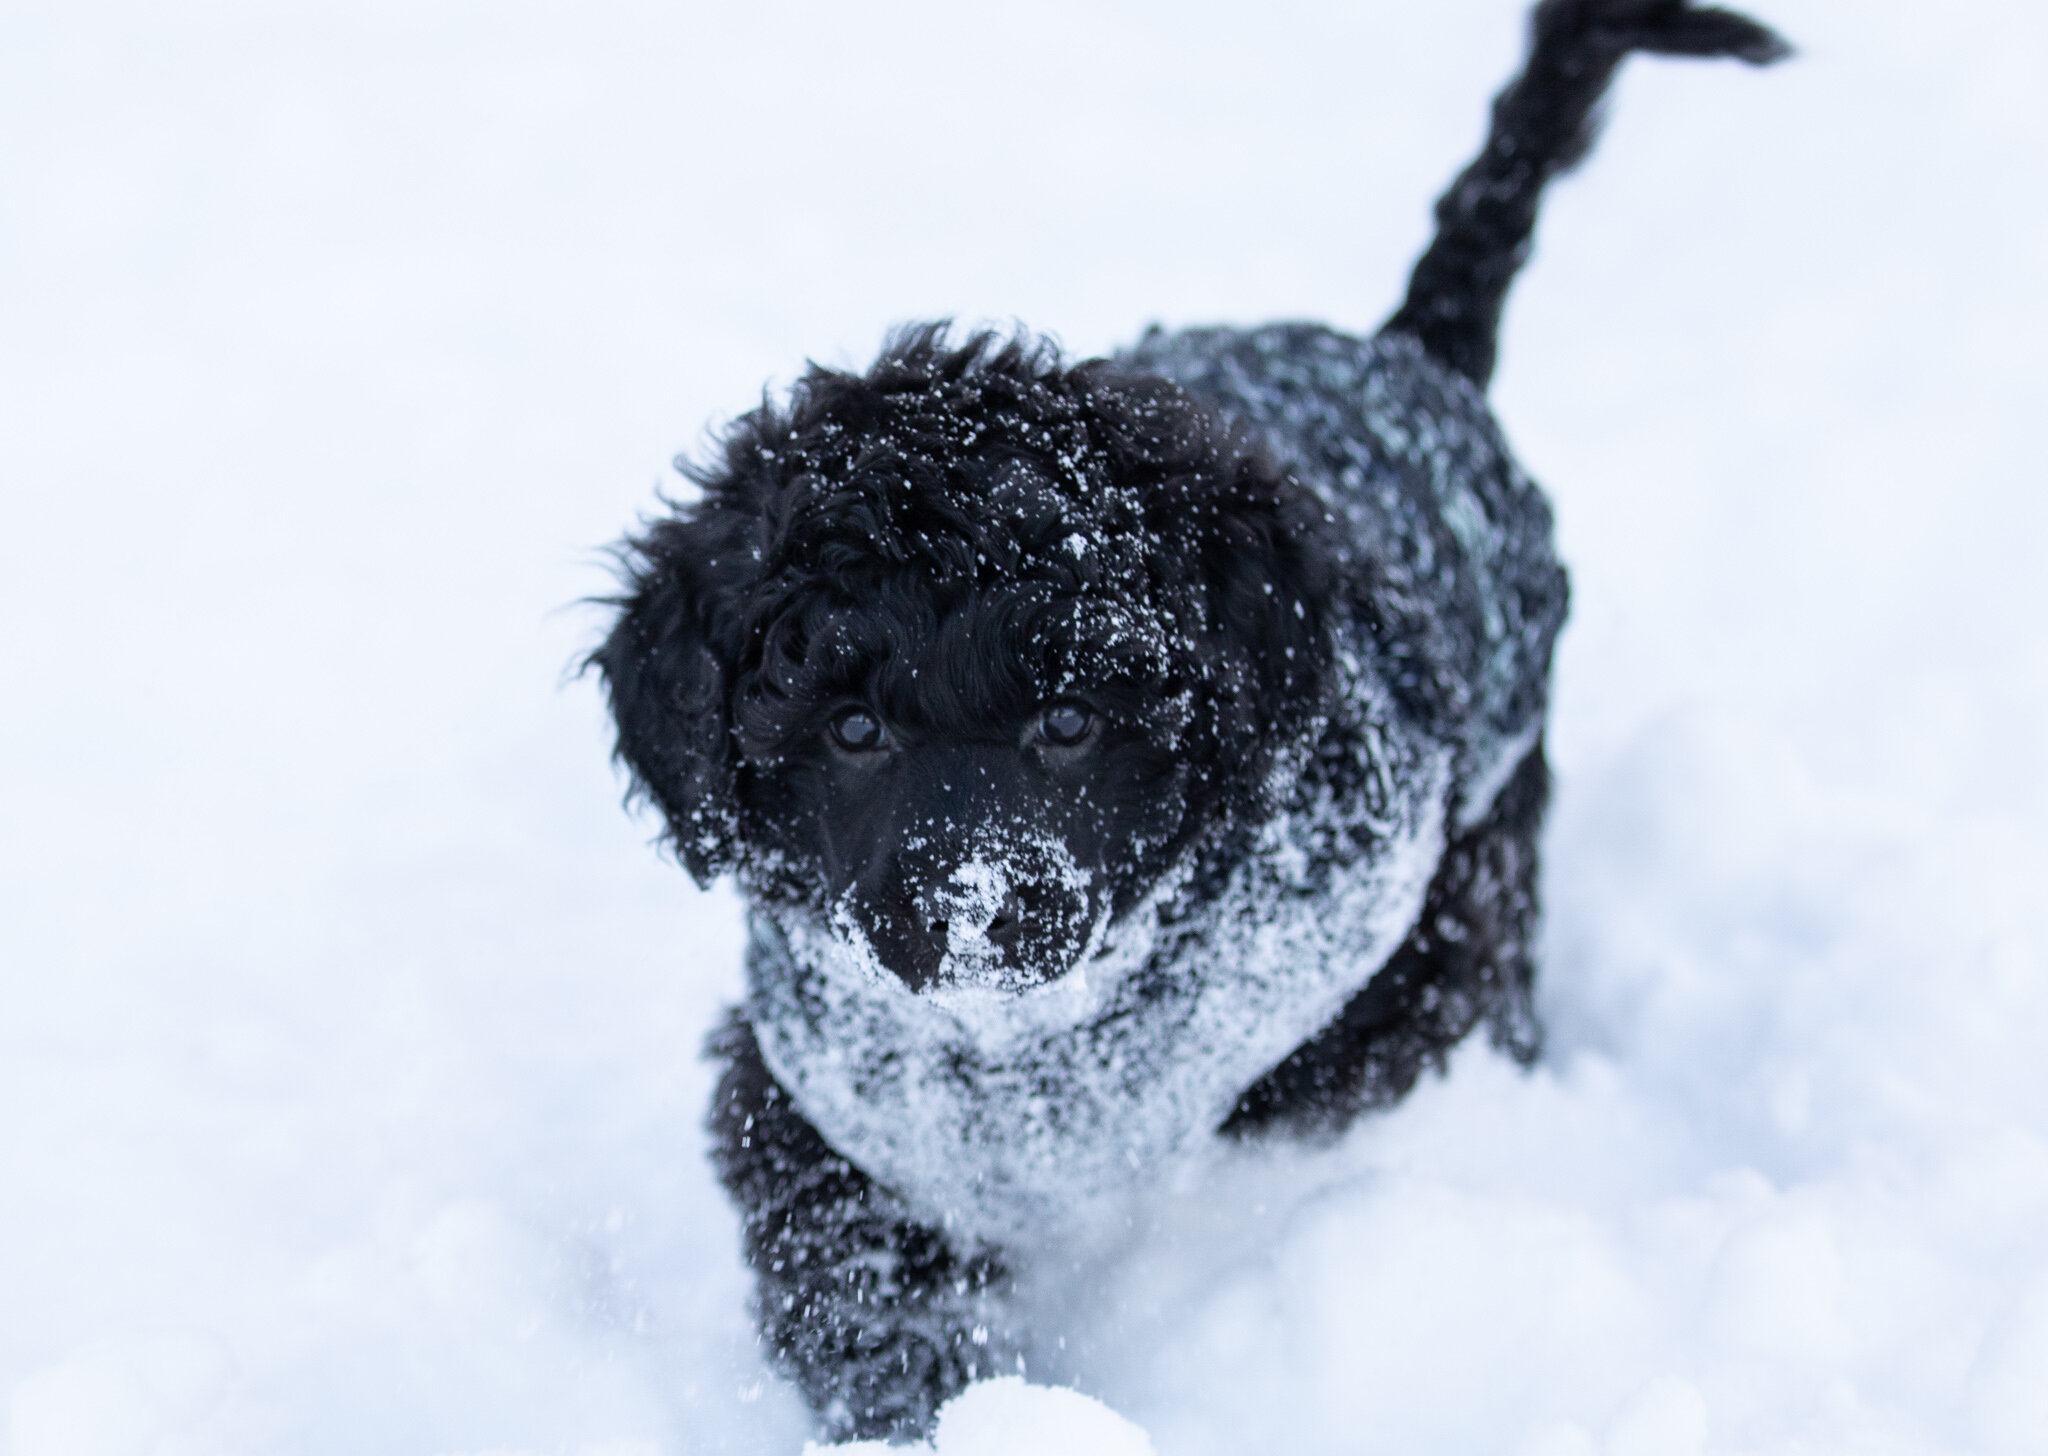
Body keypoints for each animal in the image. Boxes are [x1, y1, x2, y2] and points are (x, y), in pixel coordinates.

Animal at [589, 0, 1777, 1441]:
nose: (976, 904)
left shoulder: (1390, 970)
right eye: (852, 733)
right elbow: (854, 1275)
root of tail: (1400, 350)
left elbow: (1299, 1106)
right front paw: (936, 1410)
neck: (1034, 1044)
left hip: (1491, 835)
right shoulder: (817, 1099)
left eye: (1068, 724)